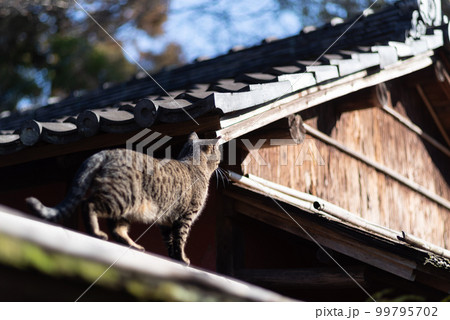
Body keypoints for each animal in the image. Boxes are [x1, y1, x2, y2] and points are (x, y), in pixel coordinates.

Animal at [25, 132, 220, 264]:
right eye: (218, 153)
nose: (219, 162)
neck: (192, 162)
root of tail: (109, 152)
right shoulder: (185, 216)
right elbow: (180, 239)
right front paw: (182, 259)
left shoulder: (165, 219)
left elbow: (170, 241)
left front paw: (175, 258)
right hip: (120, 197)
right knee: (89, 205)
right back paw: (96, 232)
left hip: (127, 208)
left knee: (117, 229)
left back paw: (133, 245)